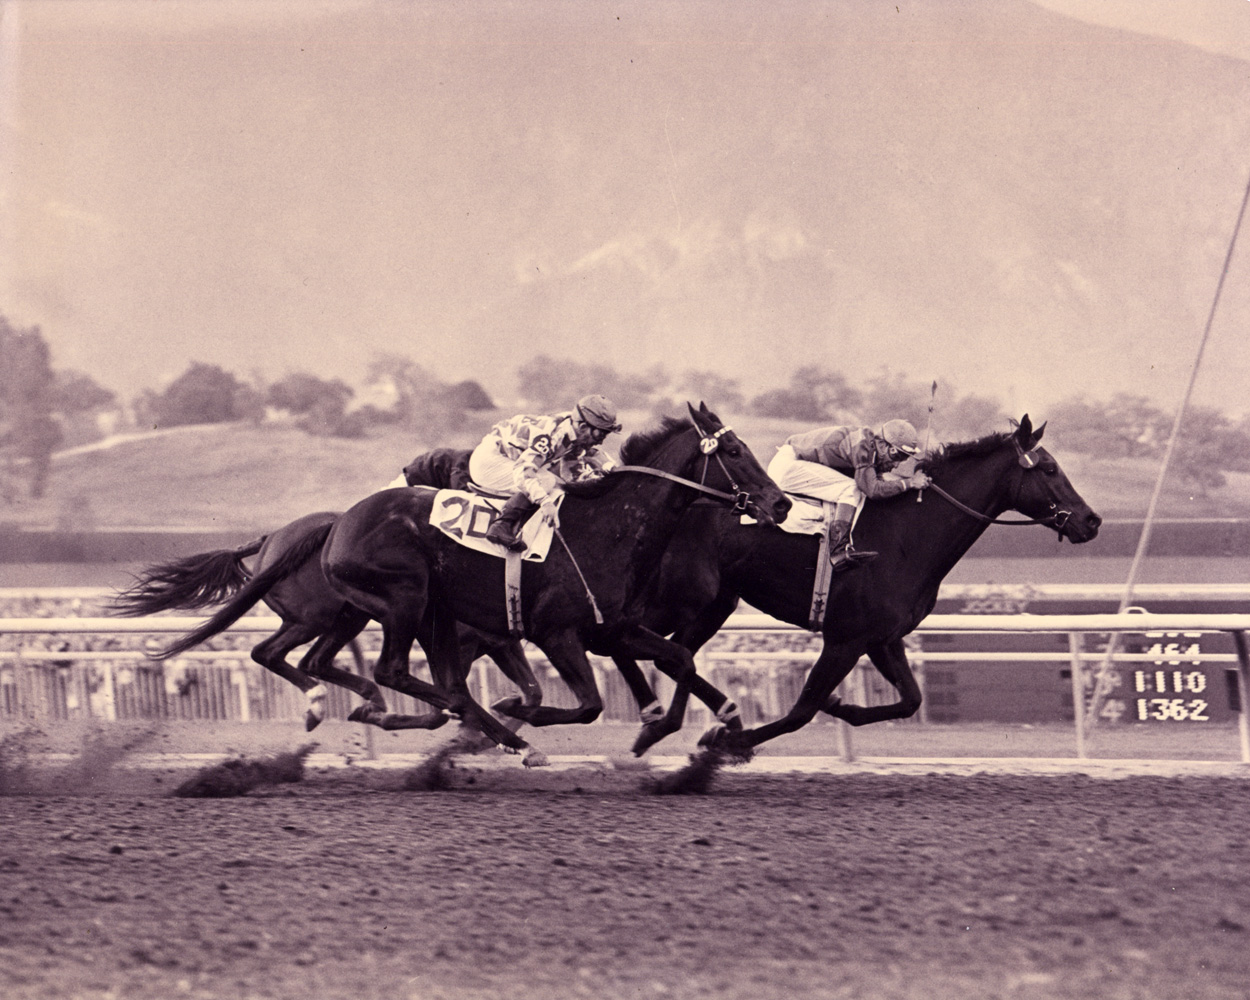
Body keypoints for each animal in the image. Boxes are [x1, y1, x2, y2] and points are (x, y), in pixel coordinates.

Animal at [317, 402, 785, 755]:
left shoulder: (613, 629)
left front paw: (706, 727)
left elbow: (680, 658)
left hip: (433, 613)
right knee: (396, 673)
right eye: (734, 451)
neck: (609, 527)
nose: (780, 504)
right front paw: (516, 708)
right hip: (405, 600)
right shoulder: (555, 633)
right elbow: (591, 705)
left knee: (443, 684)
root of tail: (341, 526)